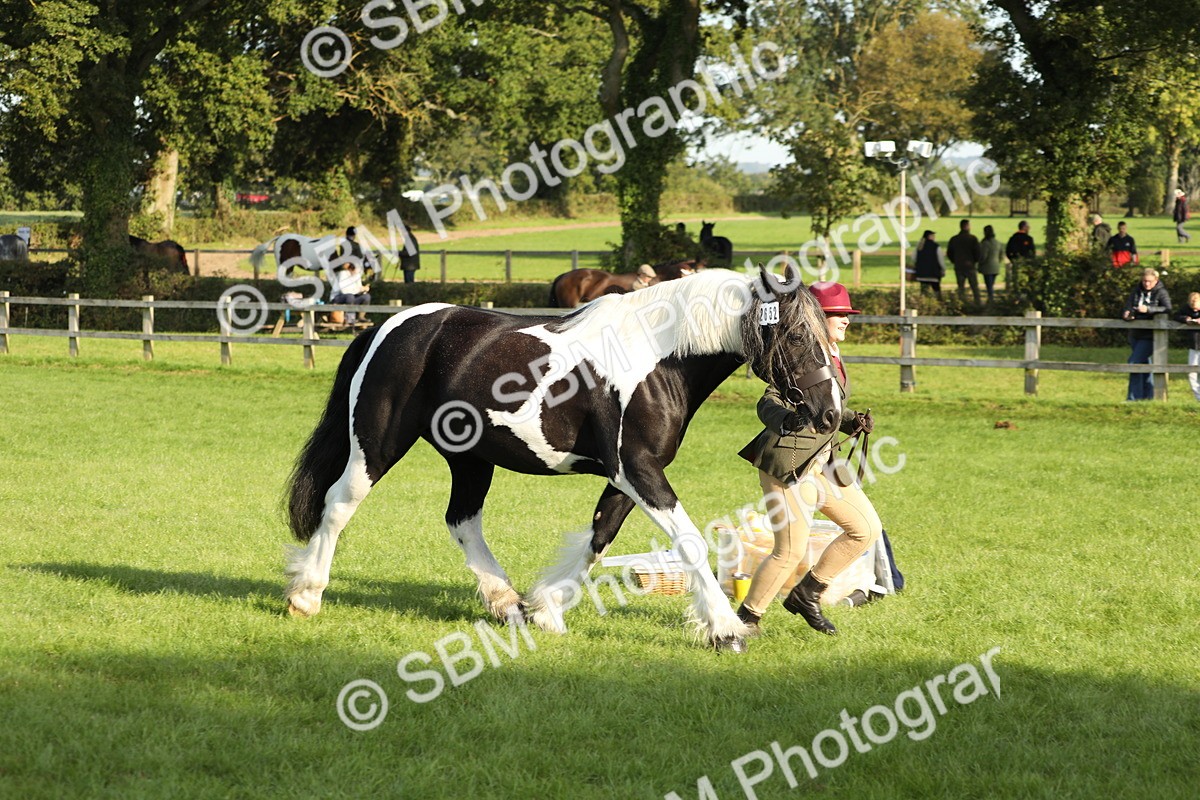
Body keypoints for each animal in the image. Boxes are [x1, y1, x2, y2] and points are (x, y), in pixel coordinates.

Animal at [283, 263, 842, 653]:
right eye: (796, 335)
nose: (831, 413)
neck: (658, 357)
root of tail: (390, 327)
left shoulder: (628, 477)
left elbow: (598, 538)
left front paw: (546, 610)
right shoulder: (638, 470)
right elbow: (688, 541)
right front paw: (725, 631)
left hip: (471, 459)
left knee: (462, 520)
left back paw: (507, 604)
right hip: (376, 445)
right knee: (339, 503)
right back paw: (305, 597)